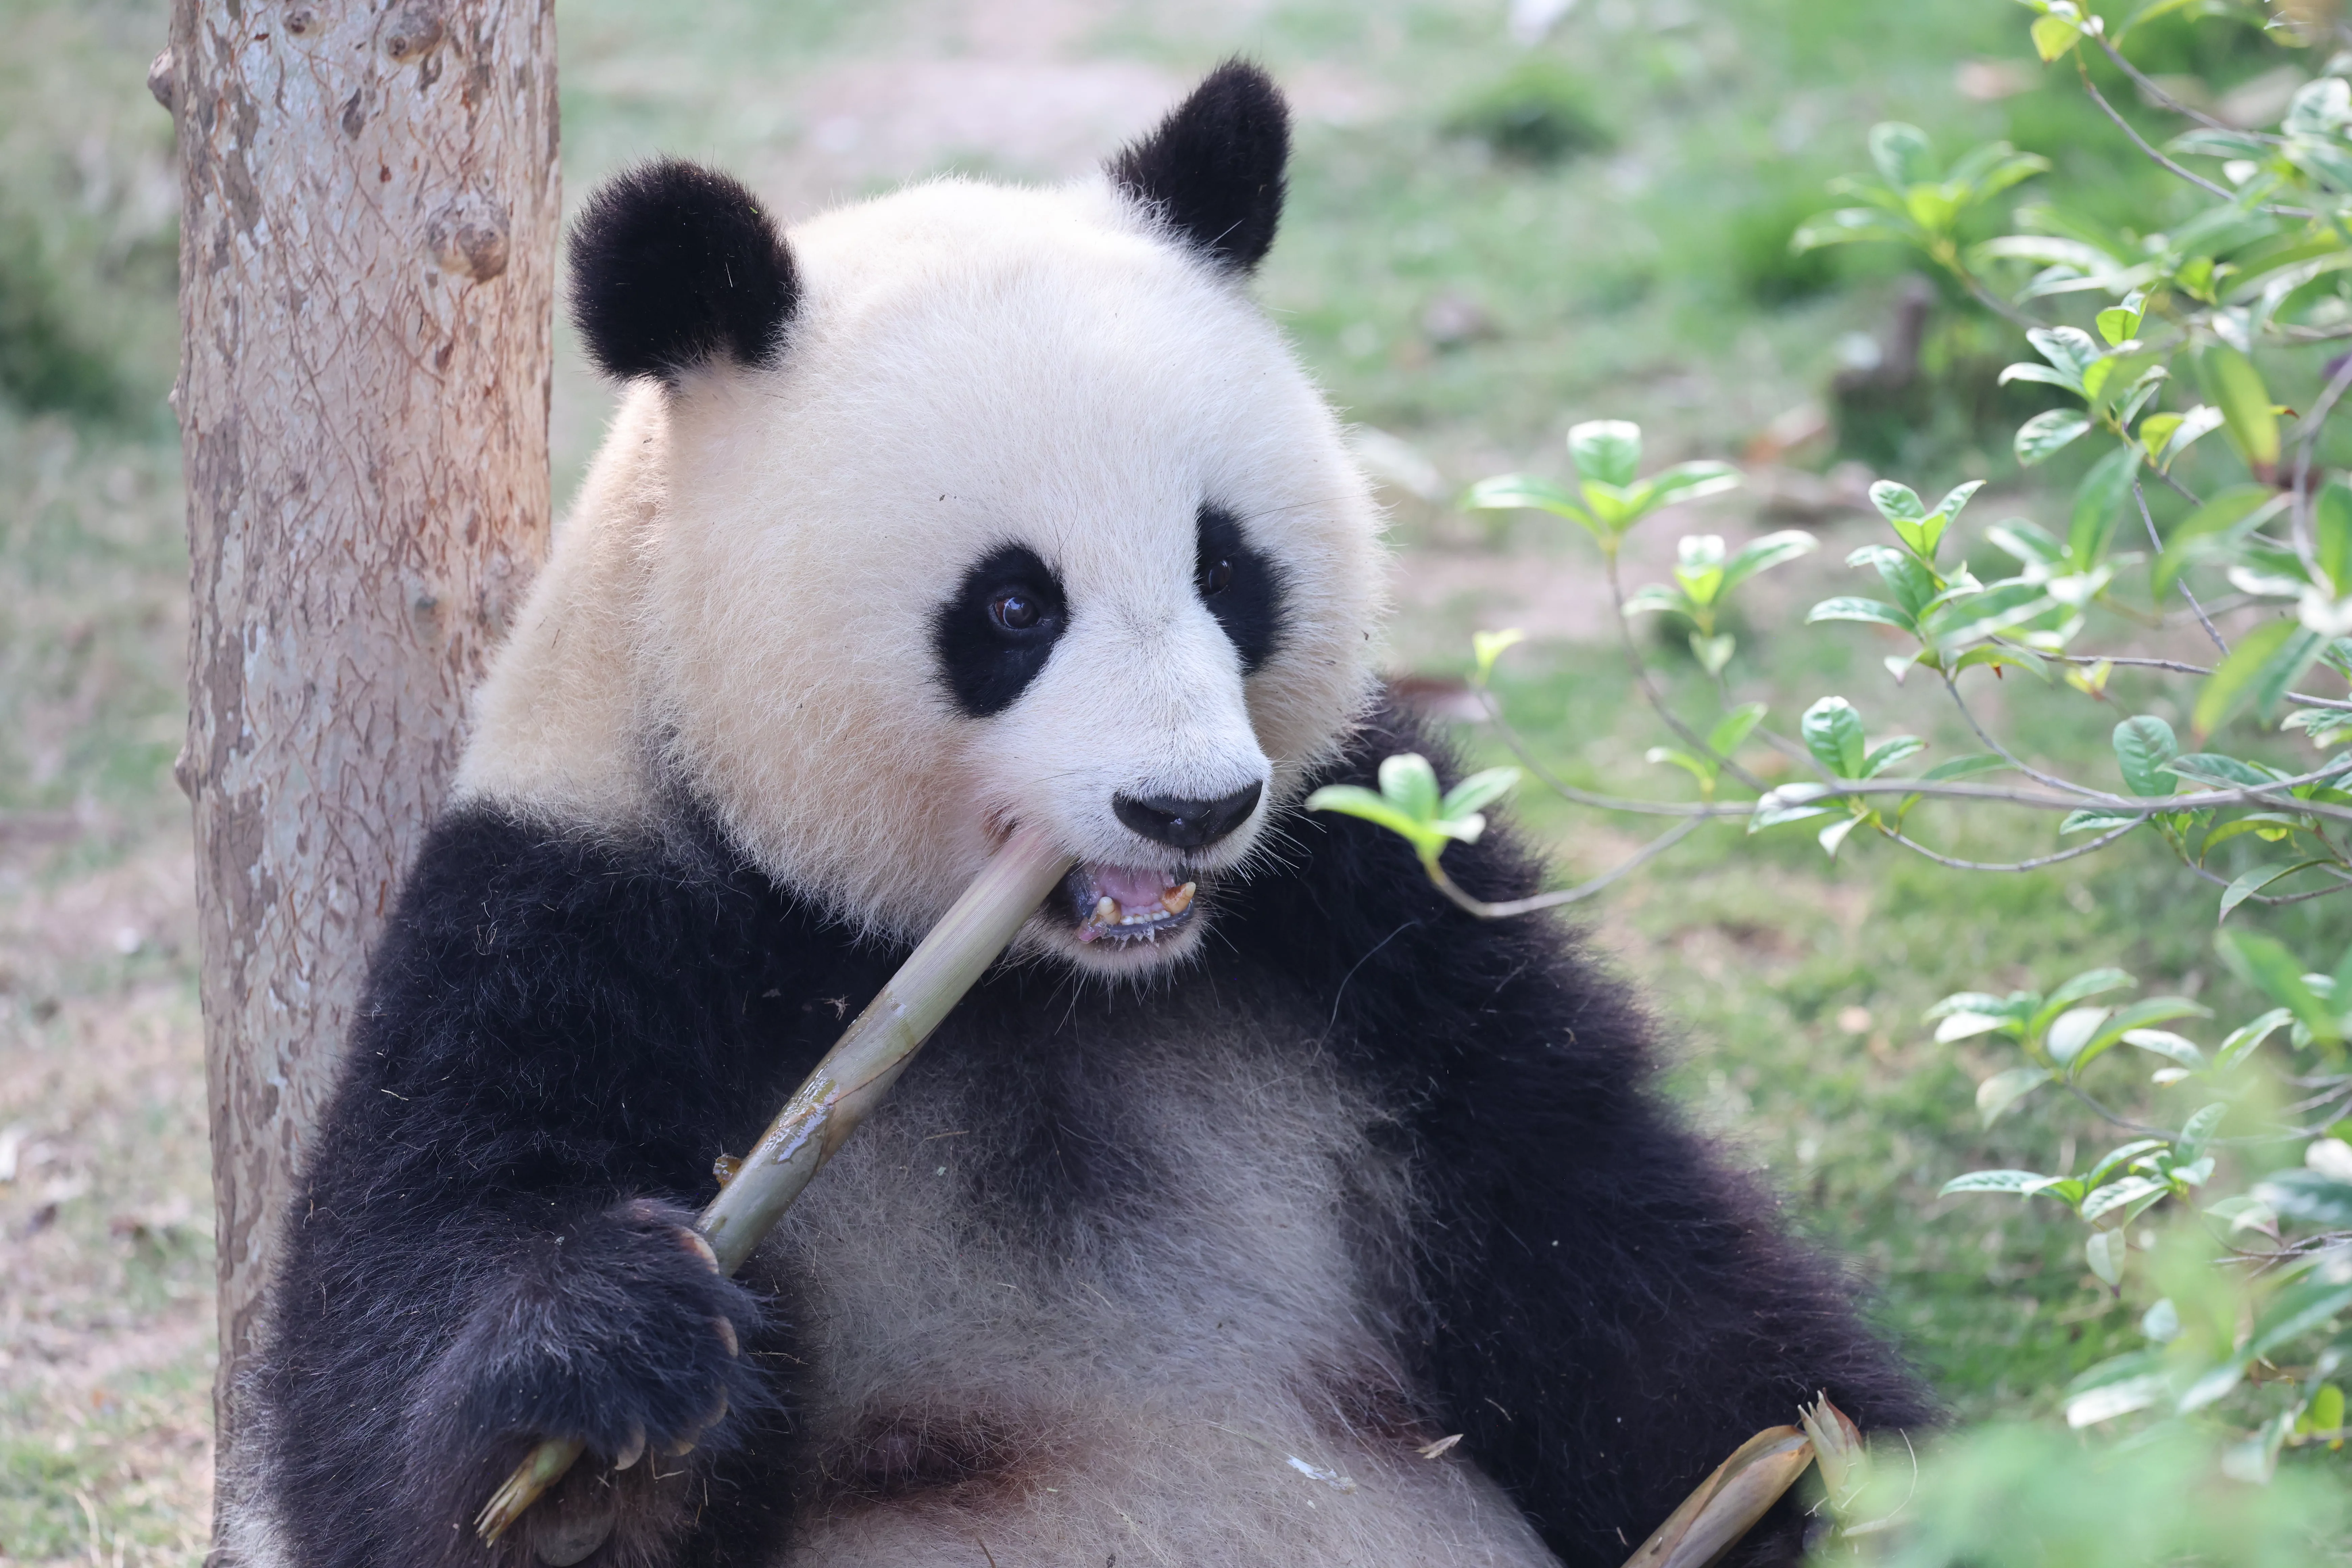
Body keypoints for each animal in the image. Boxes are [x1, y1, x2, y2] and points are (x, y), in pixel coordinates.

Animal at [234, 61, 1929, 1568]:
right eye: (1011, 605)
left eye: (1227, 566)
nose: (1188, 807)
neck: (1037, 985)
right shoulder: (573, 915)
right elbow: (398, 1339)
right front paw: (602, 1408)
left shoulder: (1371, 909)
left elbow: (1605, 1242)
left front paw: (1846, 1478)